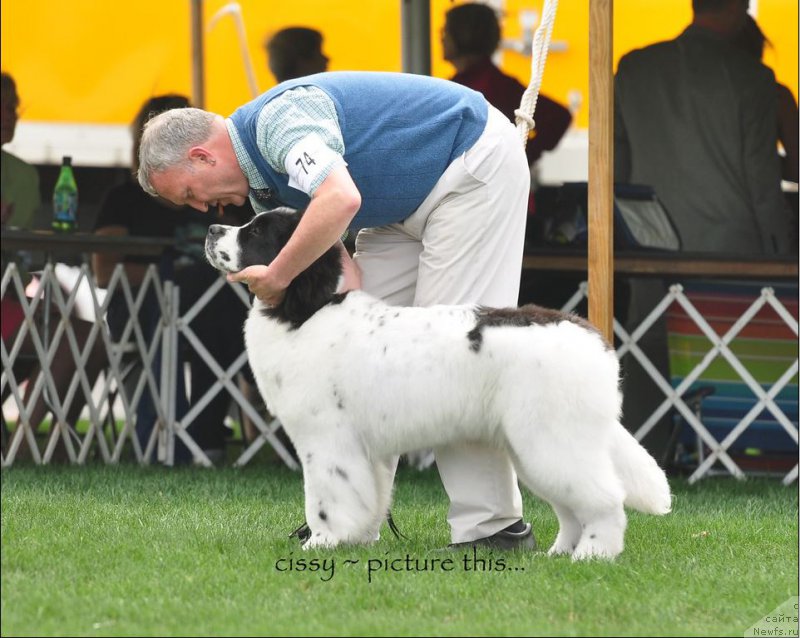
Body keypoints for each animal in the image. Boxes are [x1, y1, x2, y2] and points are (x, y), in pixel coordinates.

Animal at [205, 210, 668, 560]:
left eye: (257, 231)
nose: (211, 229)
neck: (306, 311)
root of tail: (595, 343)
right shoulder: (363, 452)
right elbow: (367, 496)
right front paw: (355, 539)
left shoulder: (326, 441)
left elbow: (324, 499)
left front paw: (321, 543)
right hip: (536, 446)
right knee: (572, 504)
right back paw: (559, 554)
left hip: (555, 438)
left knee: (605, 499)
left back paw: (594, 553)